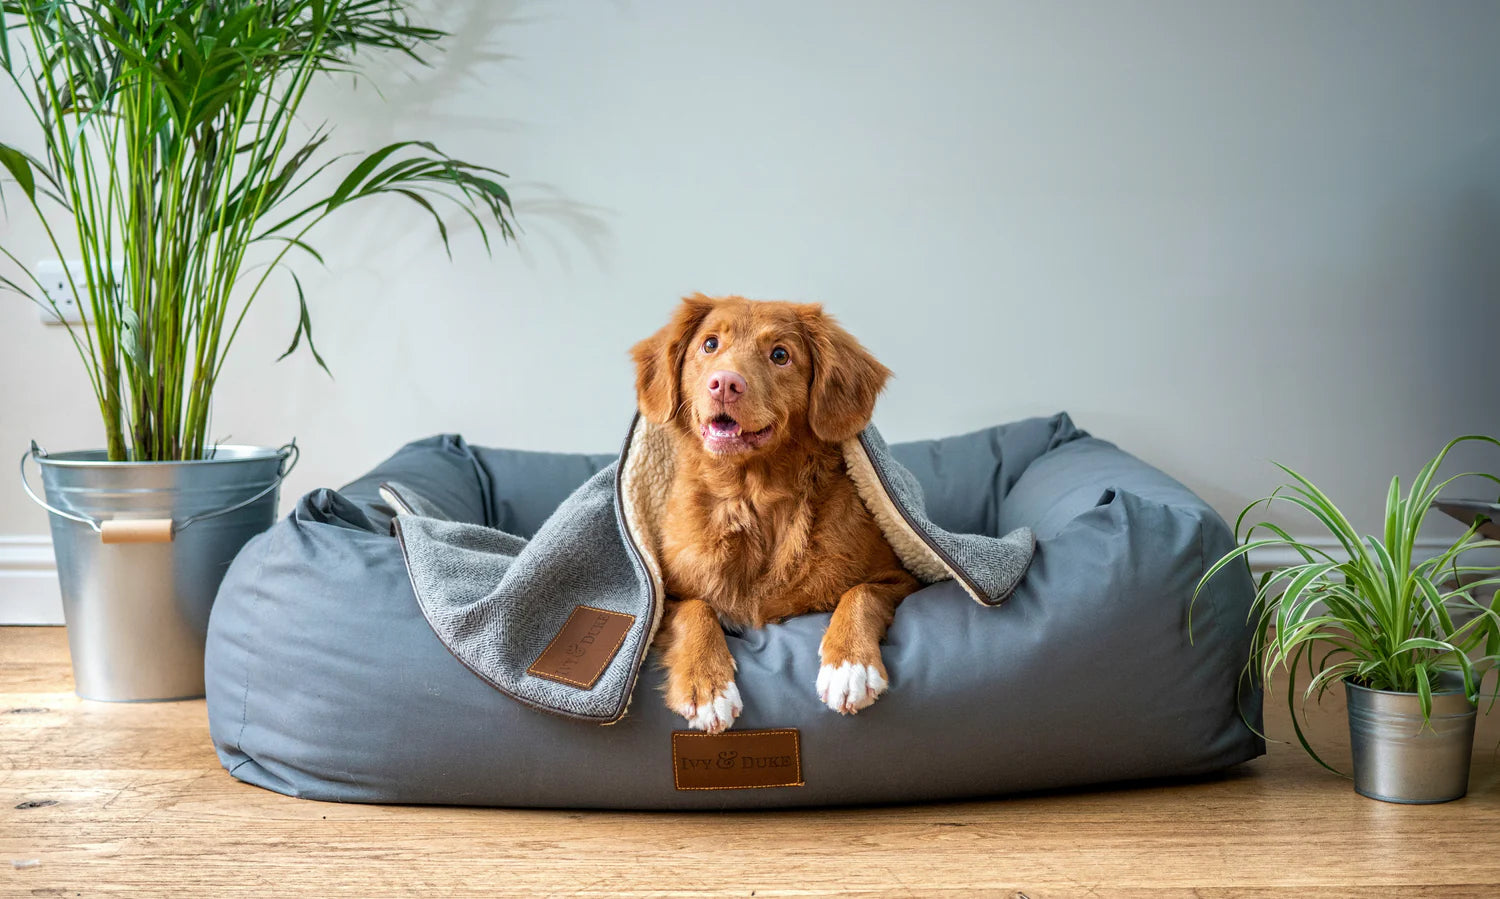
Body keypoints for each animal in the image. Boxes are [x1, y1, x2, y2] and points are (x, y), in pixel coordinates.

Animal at [630, 295, 918, 732]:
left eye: (780, 355)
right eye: (710, 344)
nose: (725, 384)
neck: (752, 498)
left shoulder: (901, 578)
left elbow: (861, 593)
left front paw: (849, 665)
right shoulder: (664, 596)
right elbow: (695, 609)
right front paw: (707, 685)